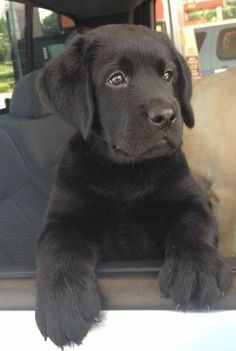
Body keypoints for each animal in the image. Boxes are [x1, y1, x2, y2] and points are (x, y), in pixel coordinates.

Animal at [35, 25, 232, 350]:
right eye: (117, 79)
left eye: (168, 75)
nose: (166, 116)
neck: (127, 174)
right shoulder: (63, 220)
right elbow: (59, 249)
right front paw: (61, 305)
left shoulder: (190, 201)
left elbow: (191, 226)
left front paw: (195, 269)